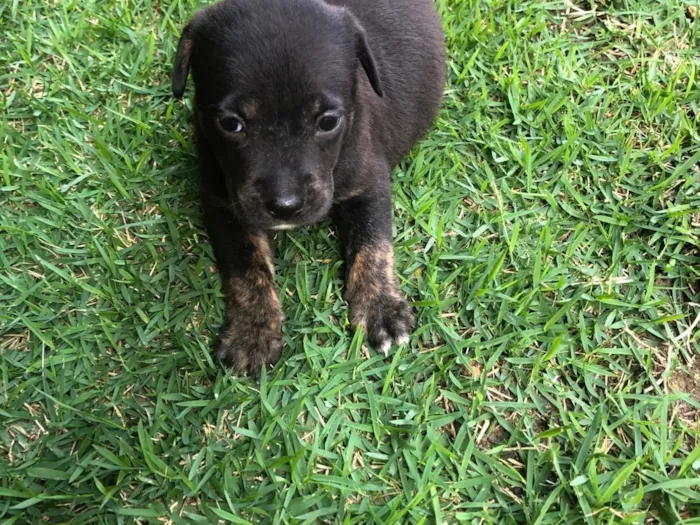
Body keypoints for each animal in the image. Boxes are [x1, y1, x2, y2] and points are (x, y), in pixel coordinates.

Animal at [174, 0, 446, 372]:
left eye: (328, 122)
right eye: (231, 124)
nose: (285, 205)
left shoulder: (369, 183)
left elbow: (373, 244)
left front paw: (381, 309)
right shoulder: (221, 201)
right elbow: (245, 265)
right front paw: (253, 330)